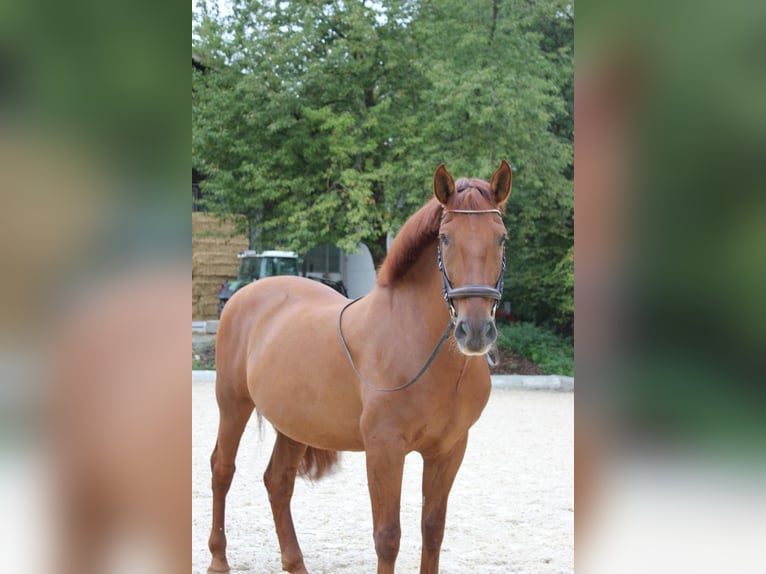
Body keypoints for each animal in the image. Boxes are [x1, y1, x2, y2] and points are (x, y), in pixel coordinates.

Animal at [208, 160, 512, 574]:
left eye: (501, 239)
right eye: (445, 238)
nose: (476, 330)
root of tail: (245, 294)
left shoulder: (449, 450)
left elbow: (432, 530)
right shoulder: (384, 449)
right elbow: (388, 537)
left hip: (294, 424)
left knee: (279, 481)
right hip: (233, 404)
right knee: (222, 470)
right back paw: (218, 559)